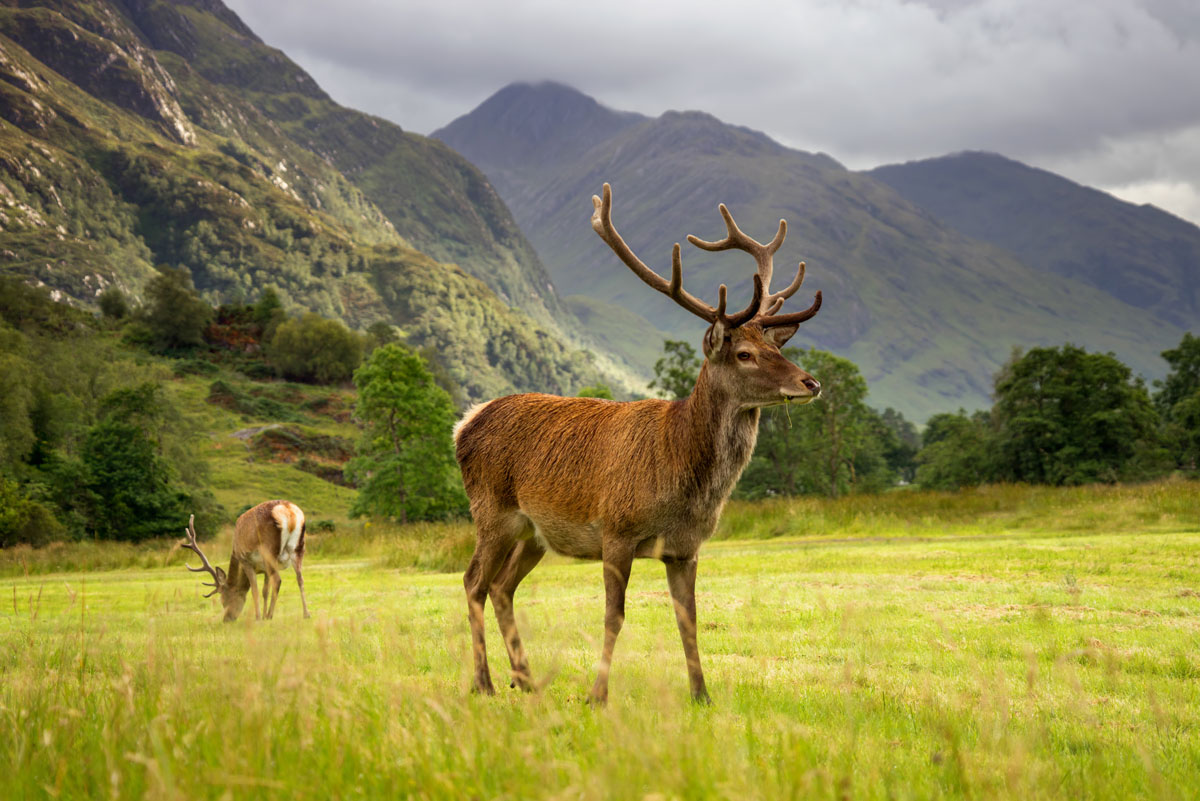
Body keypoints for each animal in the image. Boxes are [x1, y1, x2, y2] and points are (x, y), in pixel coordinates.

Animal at [180, 496, 309, 623]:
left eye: (224, 600)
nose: (226, 619)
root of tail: (287, 510)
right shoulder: (264, 570)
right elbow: (265, 591)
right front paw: (263, 616)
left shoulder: (245, 560)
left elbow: (255, 590)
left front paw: (259, 618)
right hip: (298, 548)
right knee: (300, 578)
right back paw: (306, 614)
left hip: (268, 550)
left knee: (277, 580)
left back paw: (270, 616)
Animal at [453, 184, 820, 705]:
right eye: (746, 354)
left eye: (777, 348)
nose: (811, 383)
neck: (682, 477)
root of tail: (465, 422)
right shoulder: (616, 529)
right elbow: (614, 615)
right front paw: (597, 695)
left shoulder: (686, 548)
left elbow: (688, 620)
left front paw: (701, 695)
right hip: (492, 511)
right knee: (473, 582)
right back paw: (484, 683)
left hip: (535, 533)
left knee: (502, 587)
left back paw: (524, 680)